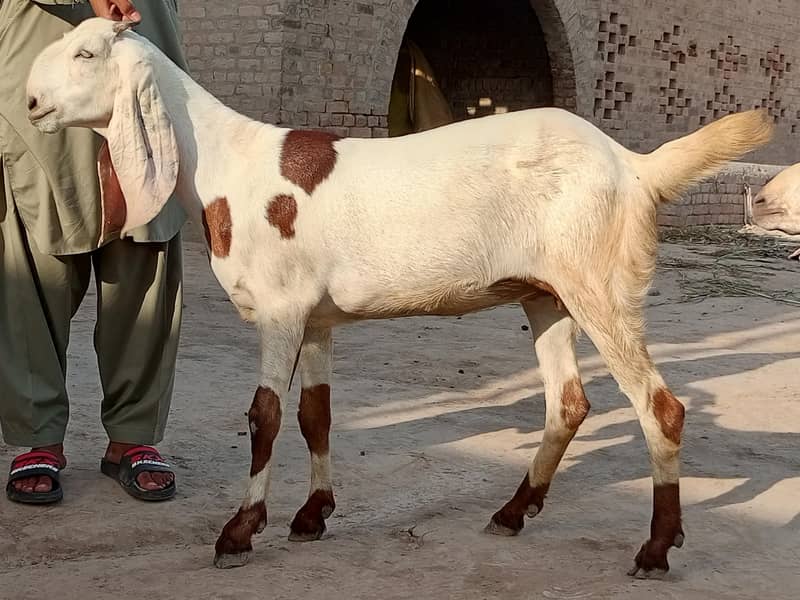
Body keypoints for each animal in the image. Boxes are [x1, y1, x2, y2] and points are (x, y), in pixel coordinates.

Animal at [26, 19, 774, 576]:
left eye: (86, 53)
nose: (30, 103)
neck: (227, 163)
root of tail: (632, 165)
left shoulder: (281, 309)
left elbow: (266, 416)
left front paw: (240, 531)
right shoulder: (315, 318)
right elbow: (317, 415)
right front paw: (312, 516)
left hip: (599, 285)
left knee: (660, 408)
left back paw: (654, 549)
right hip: (548, 294)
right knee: (568, 402)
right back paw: (512, 512)